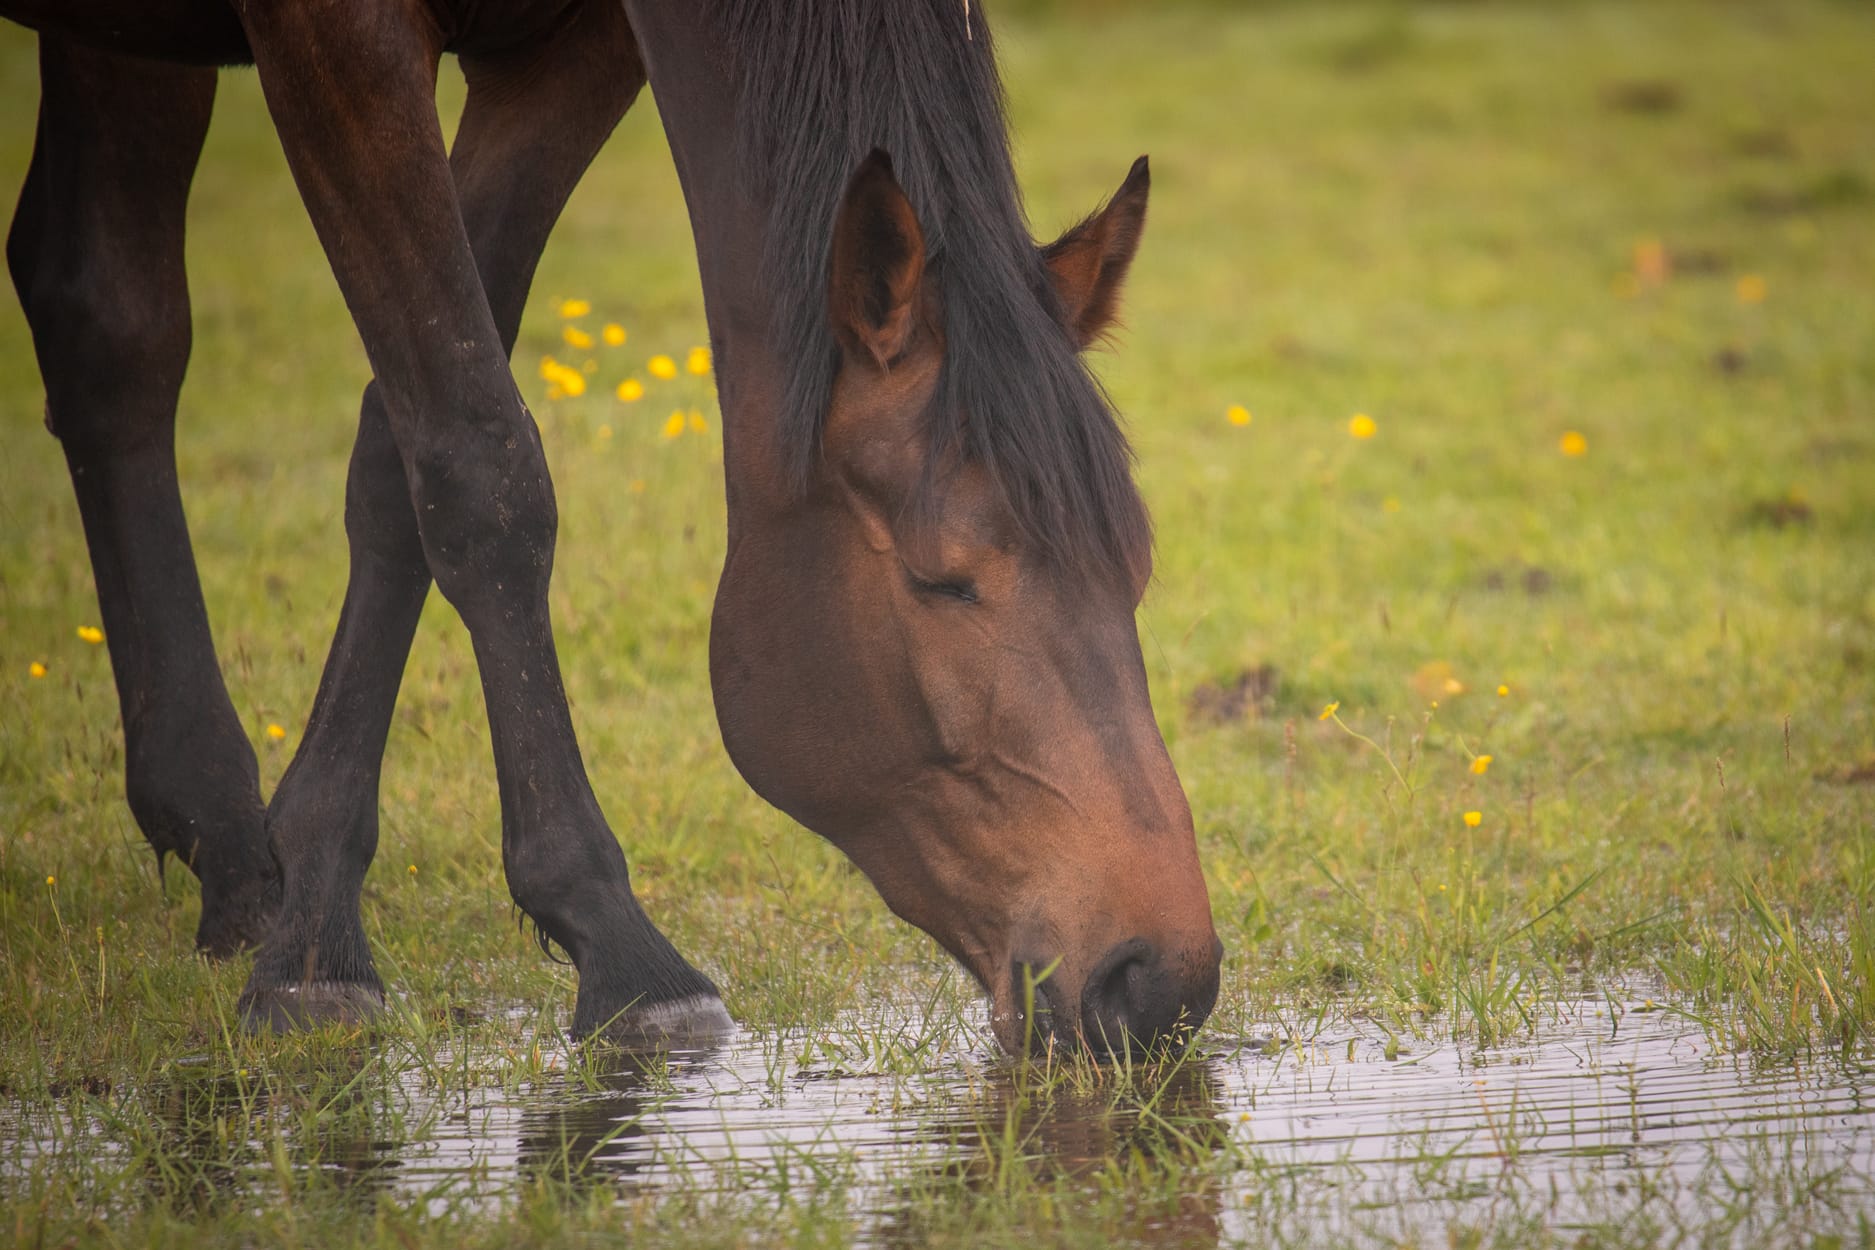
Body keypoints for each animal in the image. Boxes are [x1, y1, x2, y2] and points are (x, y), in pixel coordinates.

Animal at [3, 0, 1230, 1056]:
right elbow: (478, 460)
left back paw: (227, 850)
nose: (1157, 979)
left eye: (1135, 572)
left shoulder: (570, 54)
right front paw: (598, 946)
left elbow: (399, 452)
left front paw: (307, 900)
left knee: (104, 319)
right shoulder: (336, 38)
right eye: (942, 580)